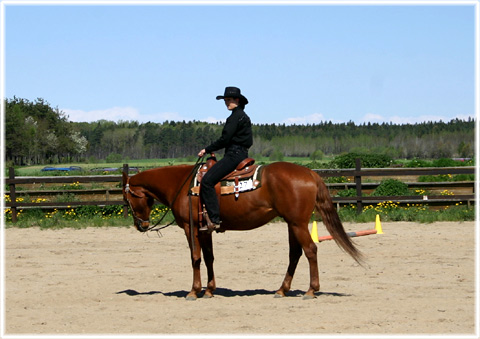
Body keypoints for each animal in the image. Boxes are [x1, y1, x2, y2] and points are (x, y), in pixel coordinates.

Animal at [122, 161, 362, 300]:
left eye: (127, 199)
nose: (141, 225)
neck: (183, 184)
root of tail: (310, 173)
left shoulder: (190, 228)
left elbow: (195, 258)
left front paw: (194, 290)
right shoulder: (205, 229)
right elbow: (209, 258)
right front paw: (209, 290)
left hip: (298, 224)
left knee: (311, 250)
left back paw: (311, 290)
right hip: (292, 224)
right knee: (295, 254)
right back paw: (282, 289)